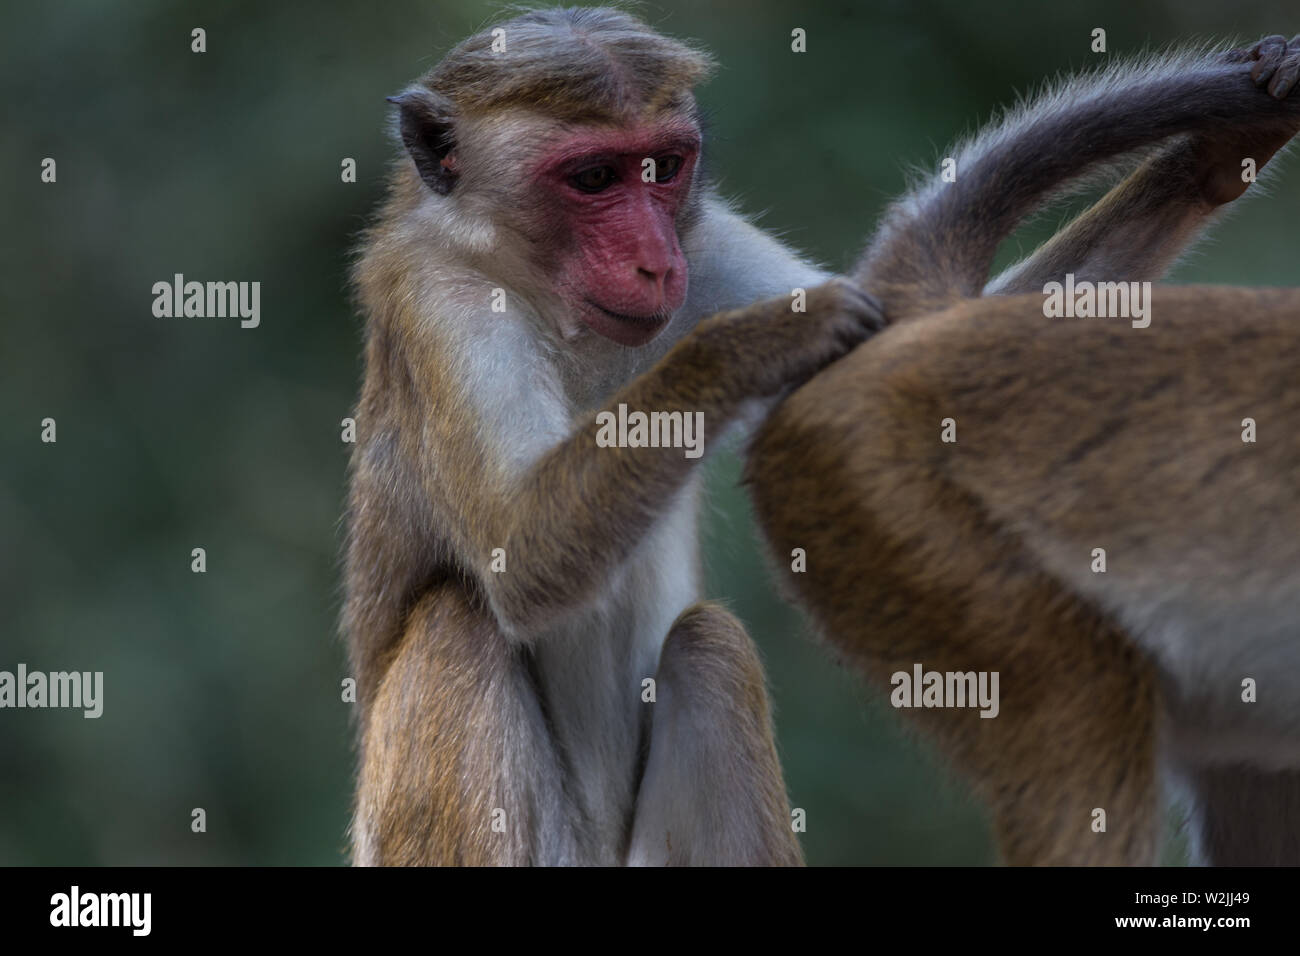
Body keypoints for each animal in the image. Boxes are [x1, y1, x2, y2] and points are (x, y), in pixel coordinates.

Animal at [340, 5, 883, 868]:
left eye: (663, 167)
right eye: (594, 179)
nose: (656, 264)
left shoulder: (704, 240)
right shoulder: (440, 300)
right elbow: (519, 548)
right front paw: (761, 341)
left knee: (710, 650)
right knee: (458, 622)